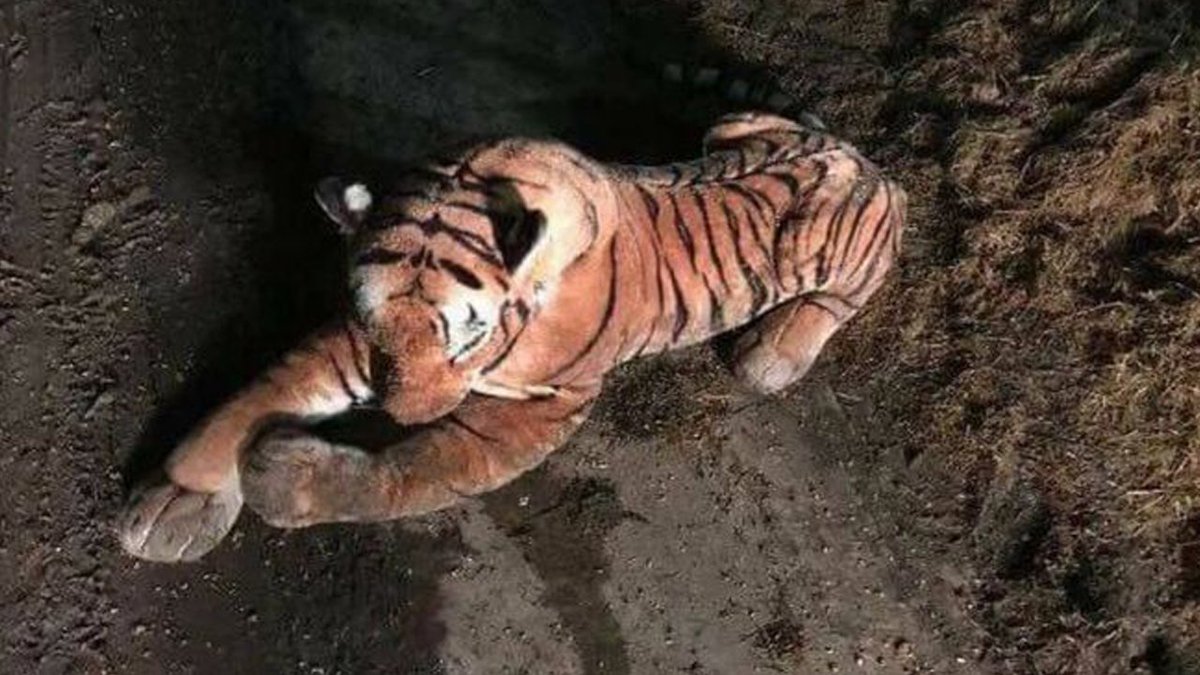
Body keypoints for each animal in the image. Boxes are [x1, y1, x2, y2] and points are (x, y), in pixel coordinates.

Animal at [117, 109, 905, 563]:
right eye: (378, 328)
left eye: (462, 341)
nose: (397, 412)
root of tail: (858, 153)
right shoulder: (357, 339)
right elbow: (258, 392)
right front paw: (176, 500)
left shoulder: (536, 408)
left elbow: (416, 469)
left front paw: (286, 479)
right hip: (731, 126)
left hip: (827, 248)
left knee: (855, 278)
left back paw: (772, 352)